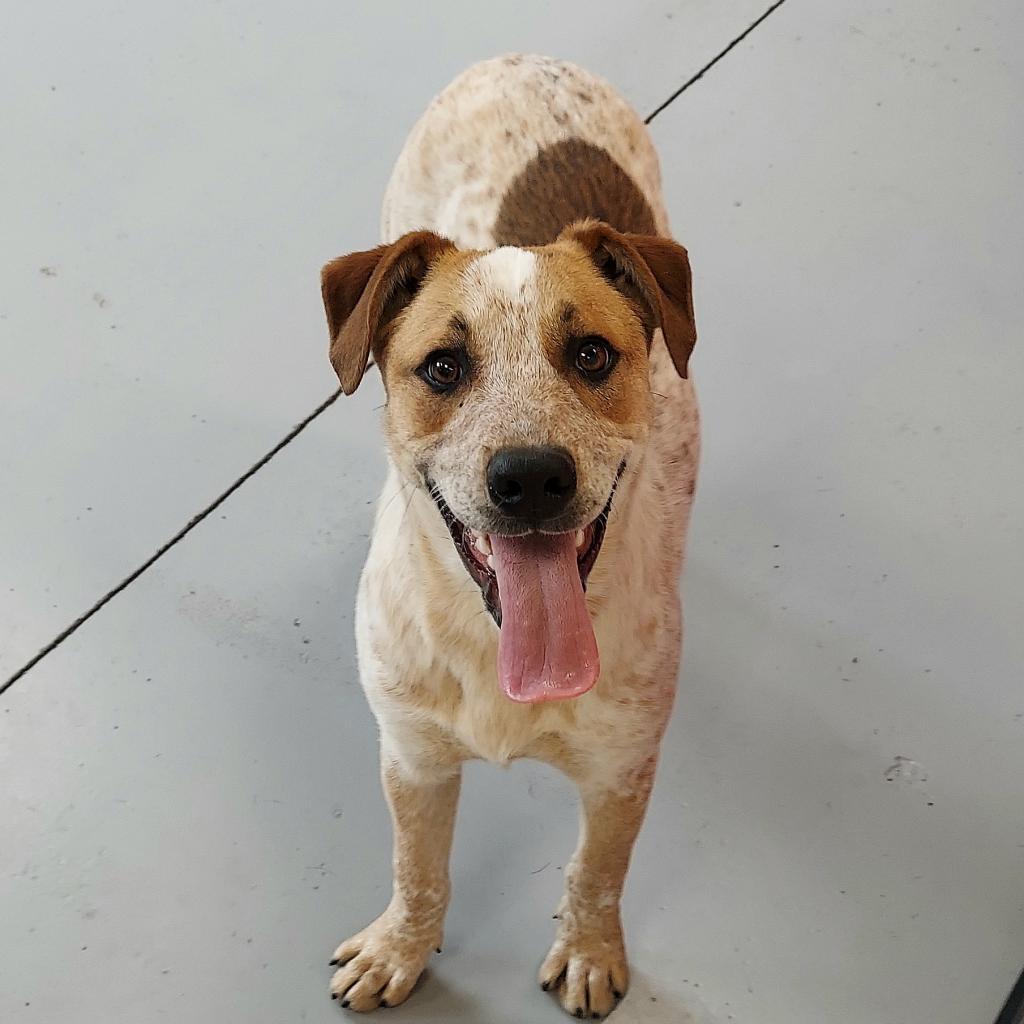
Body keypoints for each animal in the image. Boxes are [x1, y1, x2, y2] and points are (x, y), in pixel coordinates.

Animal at [323, 54, 700, 1015]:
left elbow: (597, 873)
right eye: (443, 367)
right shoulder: (412, 755)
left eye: (594, 354)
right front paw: (400, 948)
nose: (530, 477)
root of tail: (522, 58)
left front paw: (592, 953)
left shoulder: (622, 769)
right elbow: (418, 870)